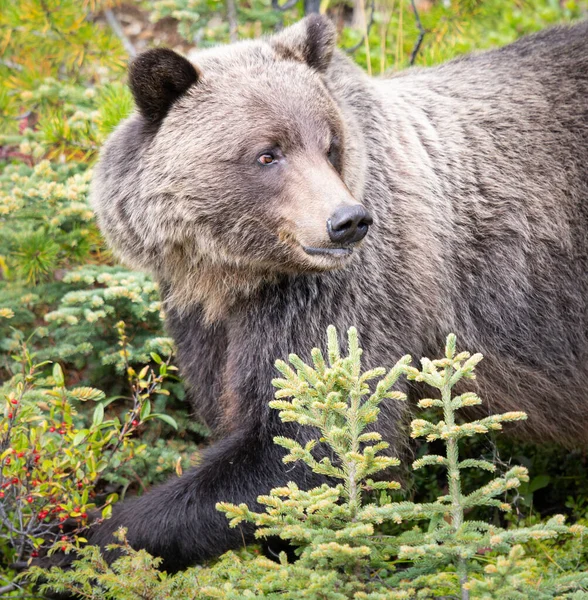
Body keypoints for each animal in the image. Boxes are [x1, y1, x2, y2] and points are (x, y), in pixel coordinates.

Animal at [88, 16, 588, 572]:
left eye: (329, 145)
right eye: (267, 153)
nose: (347, 221)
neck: (238, 276)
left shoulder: (344, 298)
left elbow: (308, 445)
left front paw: (86, 542)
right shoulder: (203, 320)